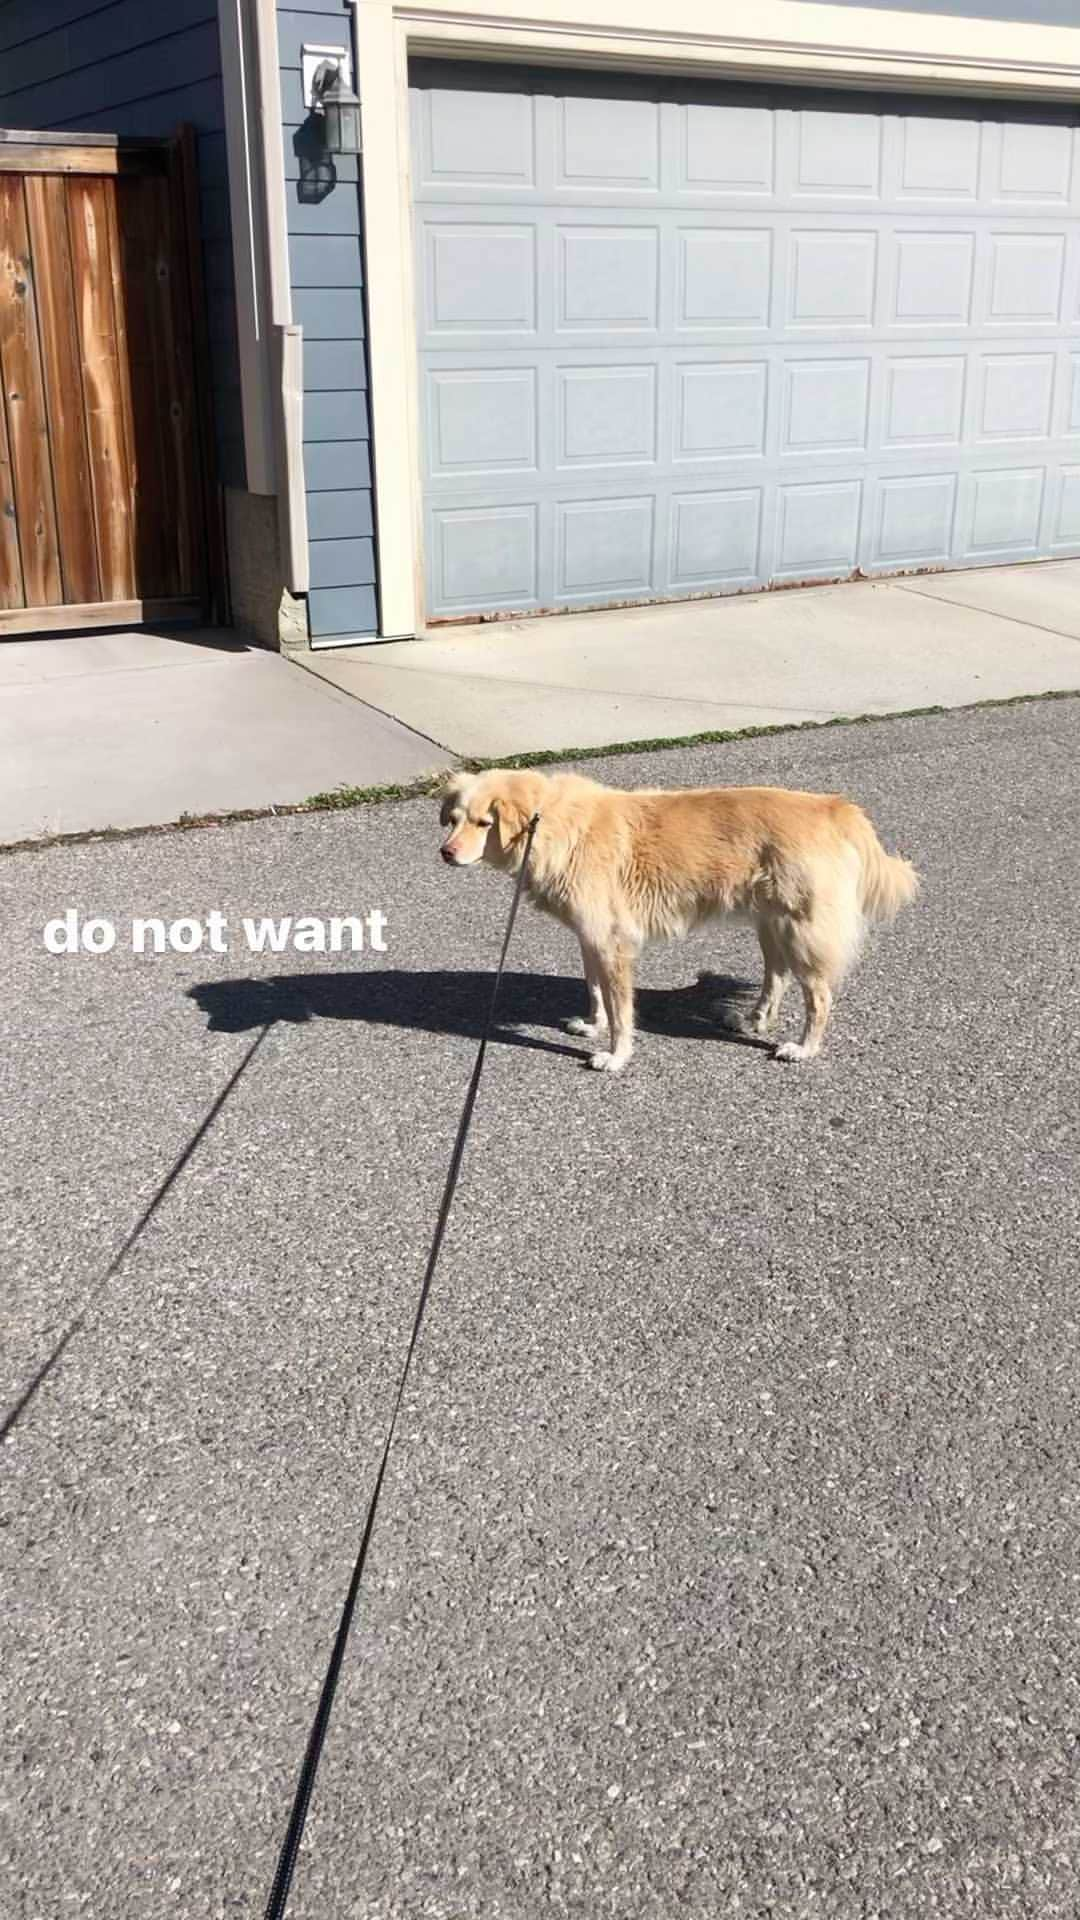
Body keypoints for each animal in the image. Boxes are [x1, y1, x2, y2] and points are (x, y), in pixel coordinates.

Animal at [438, 764, 914, 1067]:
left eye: (484, 823)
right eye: (454, 819)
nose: (445, 852)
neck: (548, 823)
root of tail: (834, 808)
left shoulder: (612, 942)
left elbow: (621, 1010)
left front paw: (617, 1055)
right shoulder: (590, 937)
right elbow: (595, 991)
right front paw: (593, 1025)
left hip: (801, 929)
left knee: (819, 997)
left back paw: (803, 1048)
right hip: (771, 922)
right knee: (775, 978)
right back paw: (754, 1020)